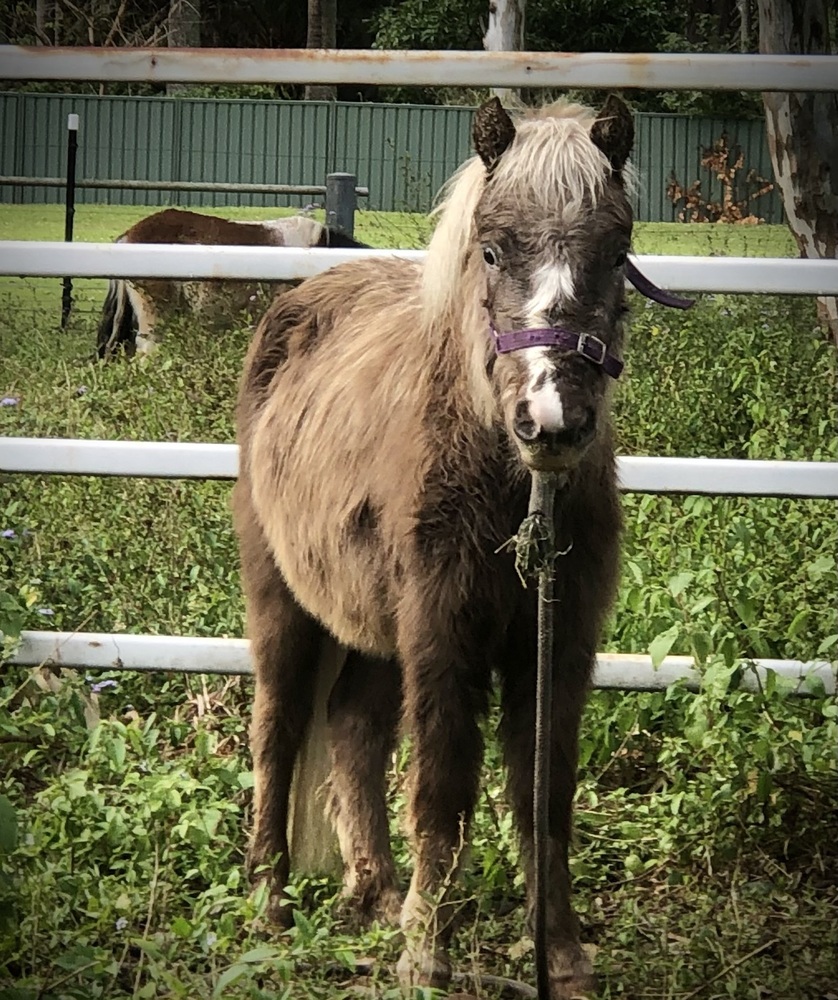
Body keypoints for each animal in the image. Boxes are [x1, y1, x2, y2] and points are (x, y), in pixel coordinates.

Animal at [233, 95, 635, 999]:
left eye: (617, 250)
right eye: (490, 247)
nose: (551, 423)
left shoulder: (558, 642)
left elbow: (544, 792)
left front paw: (560, 953)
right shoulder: (442, 635)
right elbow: (443, 784)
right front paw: (429, 949)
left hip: (375, 629)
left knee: (353, 727)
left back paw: (376, 895)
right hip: (283, 602)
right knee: (277, 729)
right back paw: (271, 904)